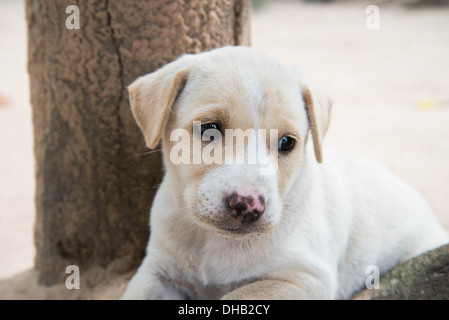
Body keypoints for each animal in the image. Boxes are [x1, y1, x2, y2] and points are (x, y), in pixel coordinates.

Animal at [121, 46, 446, 298]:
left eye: (287, 142)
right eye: (209, 129)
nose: (248, 204)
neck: (216, 242)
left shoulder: (304, 279)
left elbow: (239, 293)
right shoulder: (157, 270)